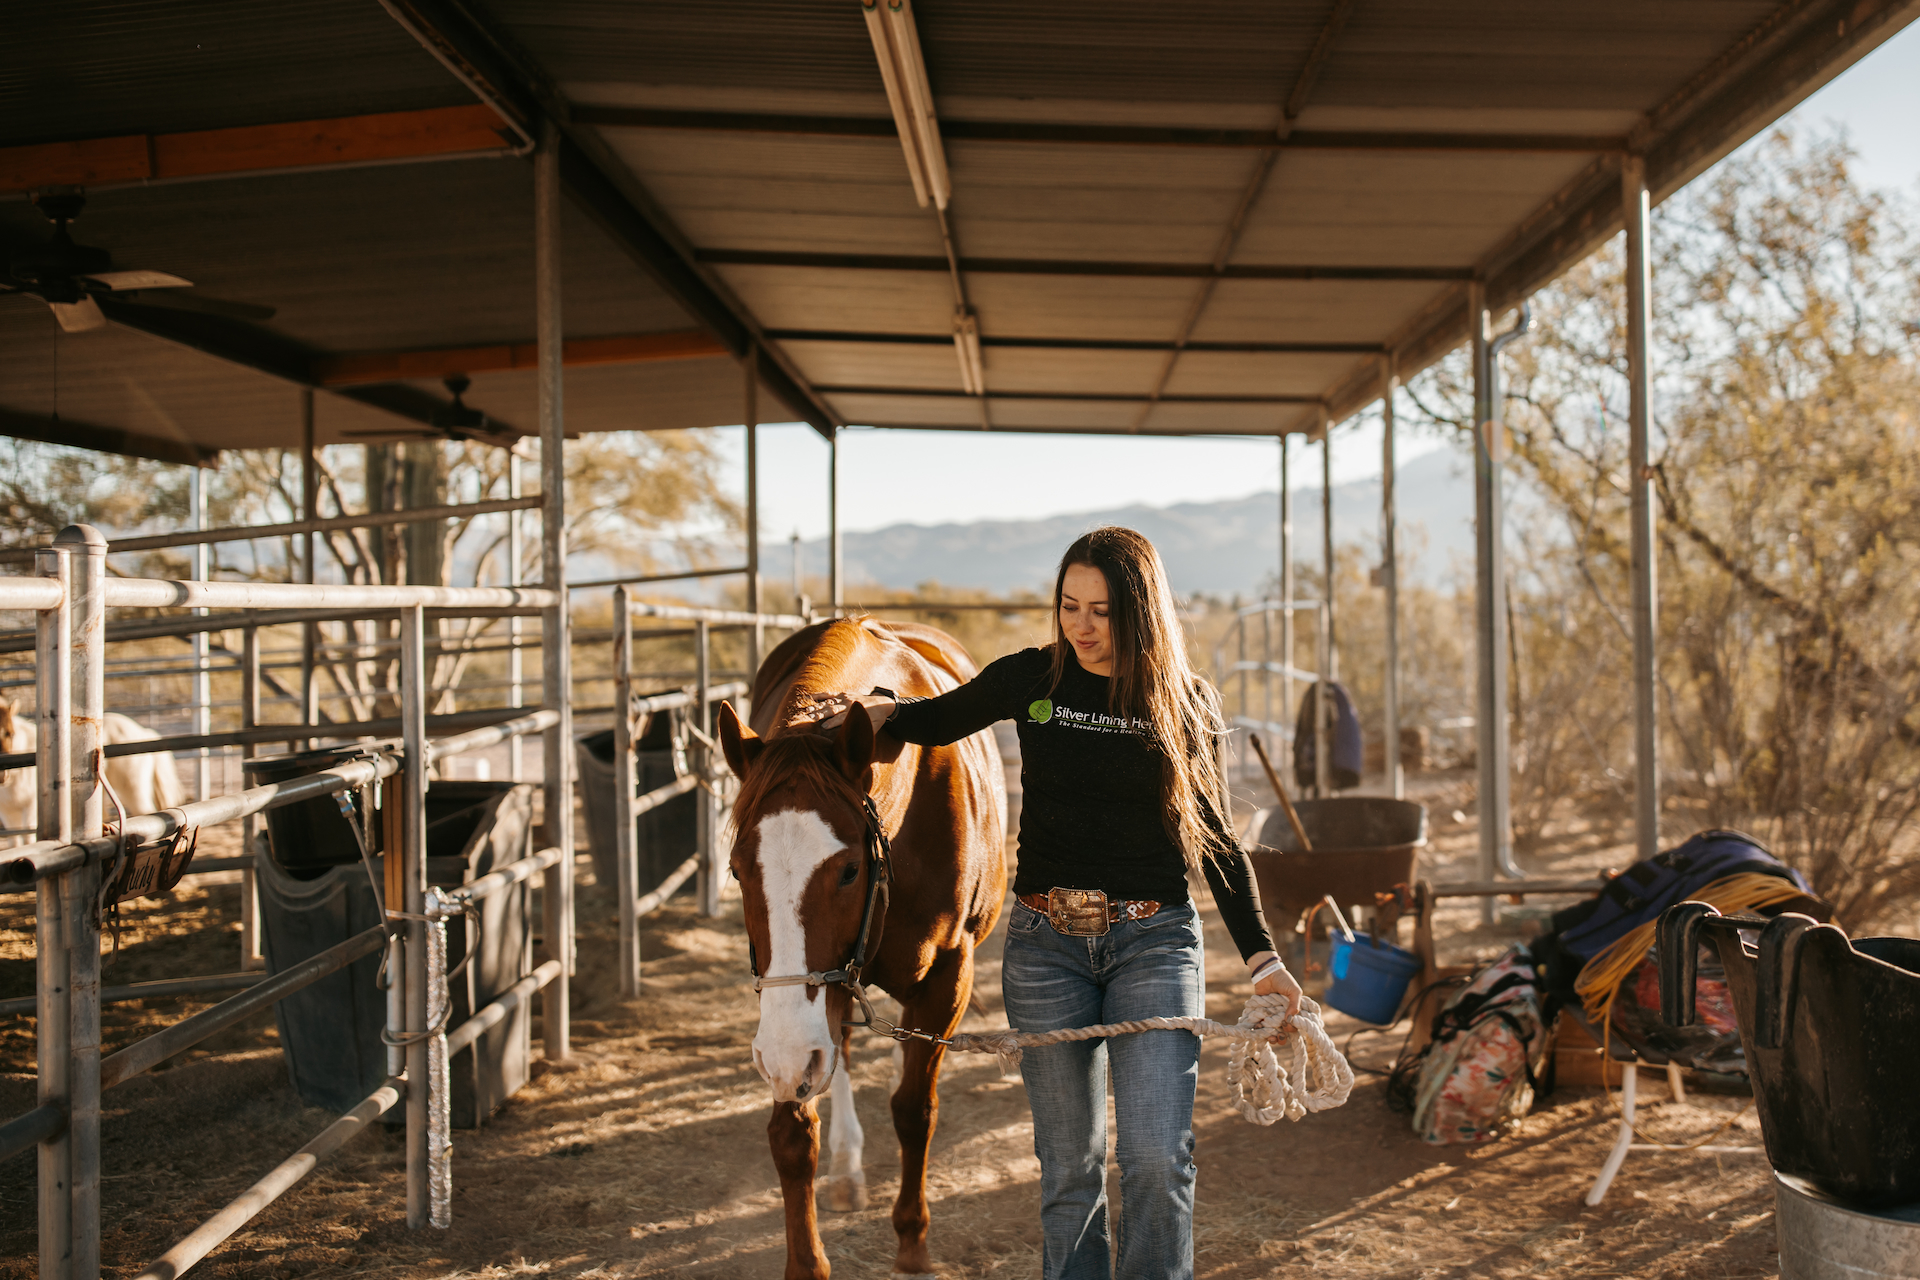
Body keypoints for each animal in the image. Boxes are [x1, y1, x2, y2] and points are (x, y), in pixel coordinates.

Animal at [0, 702, 187, 840]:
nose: (3, 775)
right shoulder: (8, 814)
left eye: (10, 733)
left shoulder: (31, 809)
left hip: (133, 791)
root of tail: (144, 732)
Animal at [718, 621, 1006, 1280]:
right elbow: (793, 1128)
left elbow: (914, 1110)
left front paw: (912, 1240)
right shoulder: (798, 1017)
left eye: (849, 870)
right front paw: (807, 1263)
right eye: (739, 870)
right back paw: (847, 1170)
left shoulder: (947, 980)